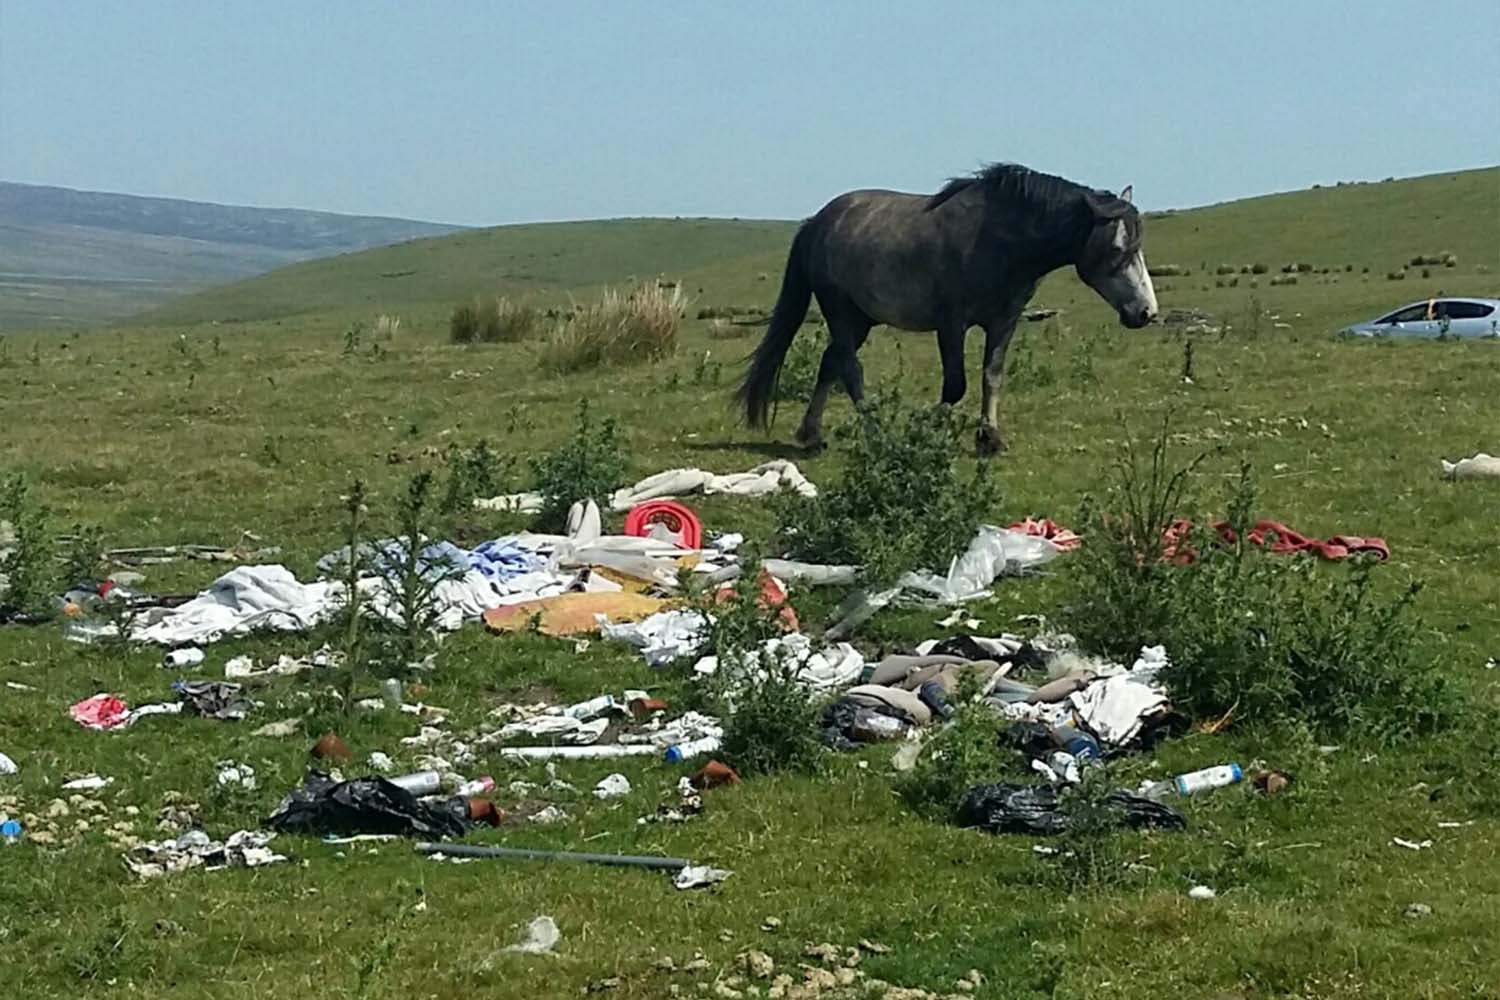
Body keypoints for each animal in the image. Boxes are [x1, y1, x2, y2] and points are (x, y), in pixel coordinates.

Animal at [738, 163, 1158, 452]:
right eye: (1117, 248)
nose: (1146, 313)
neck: (1001, 240)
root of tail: (816, 223)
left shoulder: (1003, 322)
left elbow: (991, 377)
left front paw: (990, 437)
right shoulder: (951, 324)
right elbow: (955, 386)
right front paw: (926, 429)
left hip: (860, 319)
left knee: (830, 365)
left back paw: (811, 434)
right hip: (840, 311)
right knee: (849, 369)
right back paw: (875, 432)